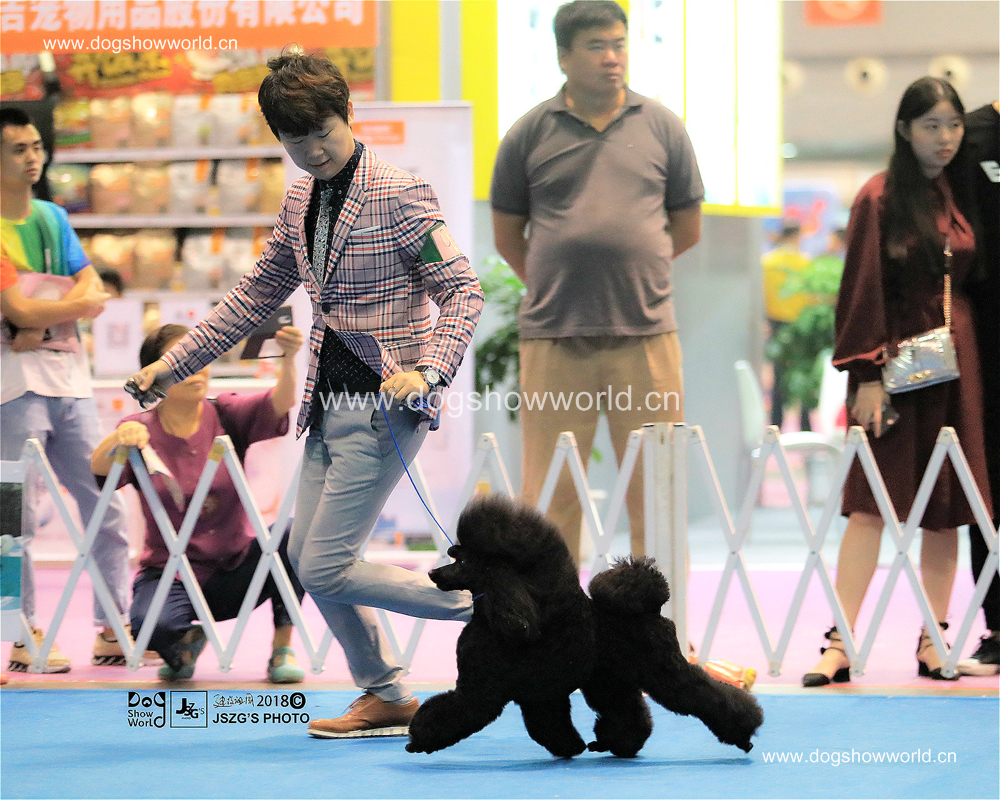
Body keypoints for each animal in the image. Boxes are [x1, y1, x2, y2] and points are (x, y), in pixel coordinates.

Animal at [406, 495, 763, 758]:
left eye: (463, 561)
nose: (433, 574)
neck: (502, 614)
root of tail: (654, 607)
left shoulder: (480, 690)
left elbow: (449, 711)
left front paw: (418, 740)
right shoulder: (541, 694)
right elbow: (548, 725)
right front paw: (571, 747)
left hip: (662, 671)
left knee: (704, 694)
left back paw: (744, 732)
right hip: (610, 679)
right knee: (628, 714)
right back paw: (615, 744)